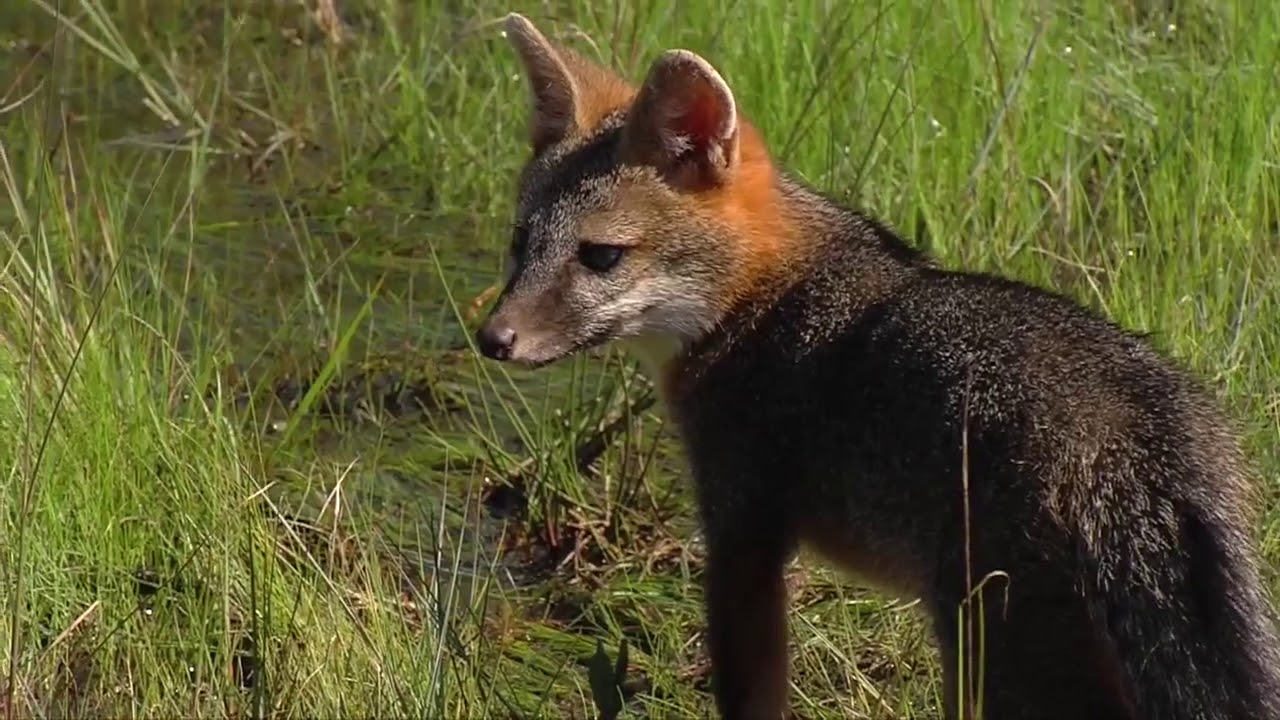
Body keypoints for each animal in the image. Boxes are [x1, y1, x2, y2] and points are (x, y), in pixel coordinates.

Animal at [473, 12, 1280, 720]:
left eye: (600, 257)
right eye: (519, 242)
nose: (492, 339)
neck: (766, 297)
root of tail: (1131, 427)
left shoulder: (741, 536)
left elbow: (750, 695)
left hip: (994, 655)